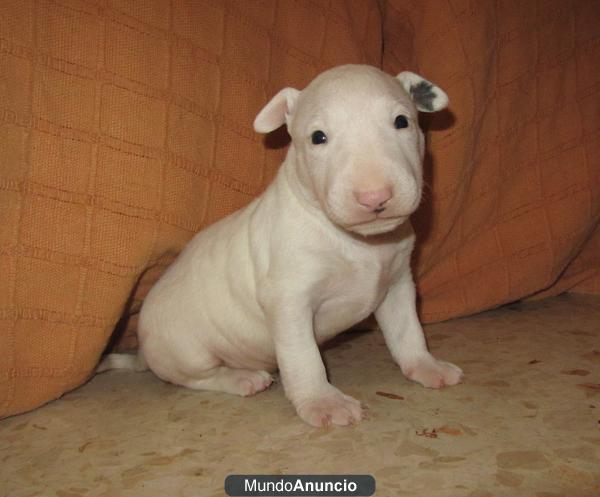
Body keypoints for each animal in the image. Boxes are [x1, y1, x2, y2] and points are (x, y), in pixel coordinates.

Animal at [99, 63, 464, 426]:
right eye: (318, 137)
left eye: (402, 121)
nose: (374, 197)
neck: (358, 242)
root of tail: (143, 352)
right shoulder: (289, 300)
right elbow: (304, 357)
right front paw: (323, 402)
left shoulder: (398, 284)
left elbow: (408, 331)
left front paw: (427, 366)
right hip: (186, 348)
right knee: (196, 377)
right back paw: (241, 377)